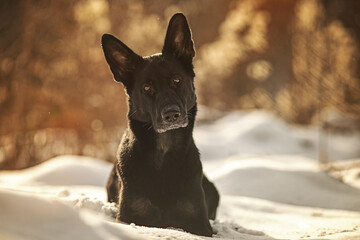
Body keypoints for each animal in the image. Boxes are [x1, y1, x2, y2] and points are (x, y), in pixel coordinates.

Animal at [101, 13, 219, 236]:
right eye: (147, 87)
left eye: (177, 80)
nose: (171, 114)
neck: (164, 154)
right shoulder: (131, 216)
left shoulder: (200, 224)